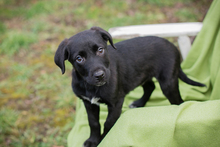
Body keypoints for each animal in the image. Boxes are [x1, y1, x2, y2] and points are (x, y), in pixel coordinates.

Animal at [54, 27, 205, 146]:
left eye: (100, 50)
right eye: (79, 59)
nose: (100, 75)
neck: (90, 86)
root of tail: (172, 46)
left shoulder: (116, 102)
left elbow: (108, 123)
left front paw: (104, 139)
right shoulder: (88, 102)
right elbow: (93, 123)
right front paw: (93, 140)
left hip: (168, 81)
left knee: (179, 101)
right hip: (143, 75)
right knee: (150, 87)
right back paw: (138, 103)